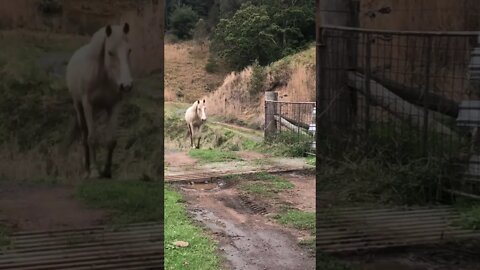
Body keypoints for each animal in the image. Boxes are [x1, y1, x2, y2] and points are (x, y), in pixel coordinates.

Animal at [65, 23, 133, 179]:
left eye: (129, 50)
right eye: (110, 52)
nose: (126, 85)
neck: (103, 77)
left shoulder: (114, 106)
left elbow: (111, 140)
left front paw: (107, 171)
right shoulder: (88, 105)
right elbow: (92, 138)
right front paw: (95, 171)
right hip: (78, 106)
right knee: (85, 134)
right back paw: (86, 168)